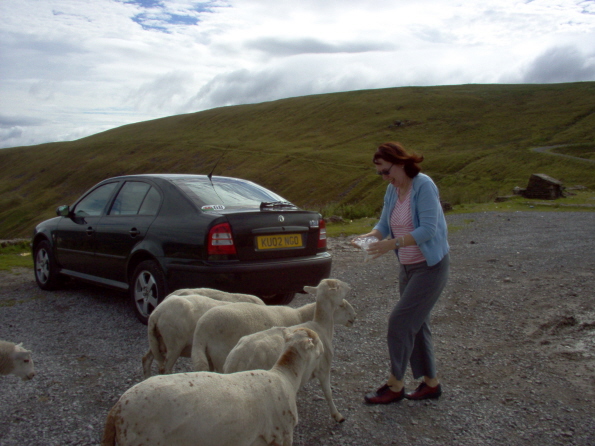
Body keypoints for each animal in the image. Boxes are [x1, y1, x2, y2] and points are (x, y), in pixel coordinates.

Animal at [190, 278, 350, 376]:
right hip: (221, 355)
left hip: (209, 356)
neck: (300, 316)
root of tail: (201, 329)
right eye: (342, 305)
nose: (353, 318)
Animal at [222, 278, 354, 422]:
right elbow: (328, 392)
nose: (354, 317)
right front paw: (337, 415)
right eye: (341, 304)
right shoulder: (324, 368)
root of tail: (236, 361)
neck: (321, 326)